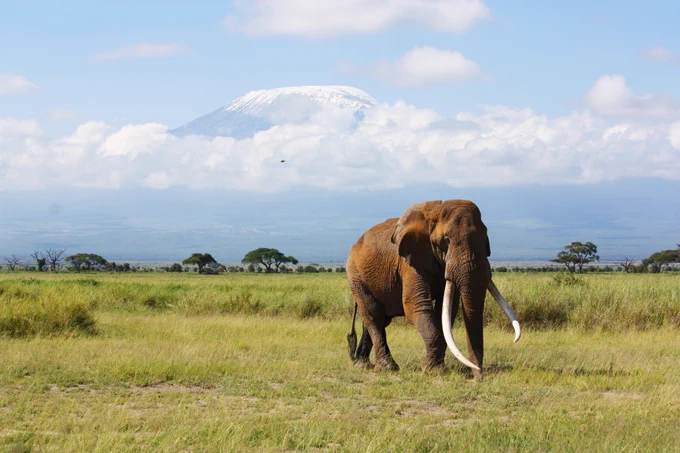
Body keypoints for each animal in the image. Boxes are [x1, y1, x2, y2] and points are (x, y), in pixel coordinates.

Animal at [345, 199, 521, 379]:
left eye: (486, 238)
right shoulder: (409, 262)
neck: (436, 210)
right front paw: (432, 371)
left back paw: (362, 364)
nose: (478, 378)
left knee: (378, 319)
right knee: (374, 316)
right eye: (446, 240)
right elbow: (416, 306)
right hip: (356, 276)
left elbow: (446, 310)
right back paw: (387, 368)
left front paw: (435, 368)